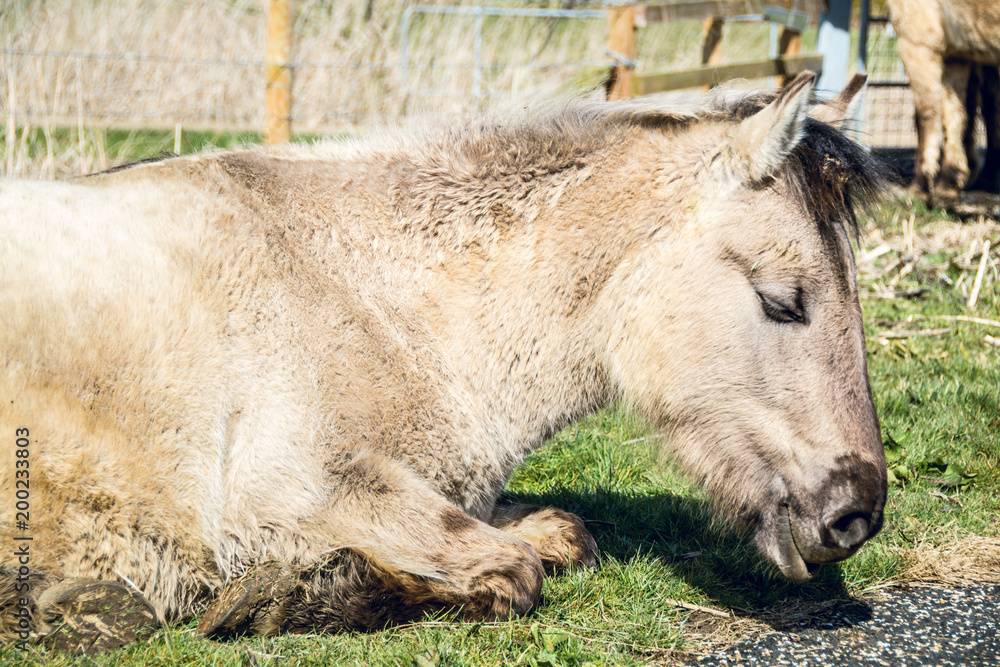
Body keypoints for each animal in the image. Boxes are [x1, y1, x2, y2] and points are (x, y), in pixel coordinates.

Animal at [1, 72, 887, 654]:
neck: (363, 288)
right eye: (782, 300)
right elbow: (514, 568)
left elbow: (563, 531)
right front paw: (297, 596)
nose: (856, 515)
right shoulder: (294, 494)